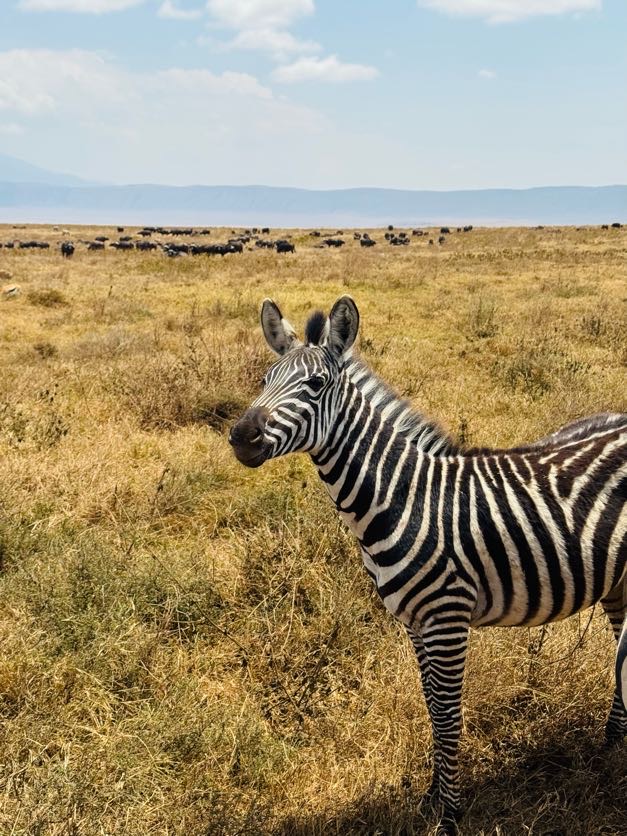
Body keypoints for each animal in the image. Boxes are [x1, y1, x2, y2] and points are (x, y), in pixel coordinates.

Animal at [229, 296, 627, 834]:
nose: (240, 435)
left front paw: (451, 813)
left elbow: (448, 714)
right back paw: (611, 749)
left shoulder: (447, 618)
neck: (402, 497)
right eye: (265, 379)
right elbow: (431, 704)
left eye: (315, 385)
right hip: (619, 581)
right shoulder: (416, 623)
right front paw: (432, 799)